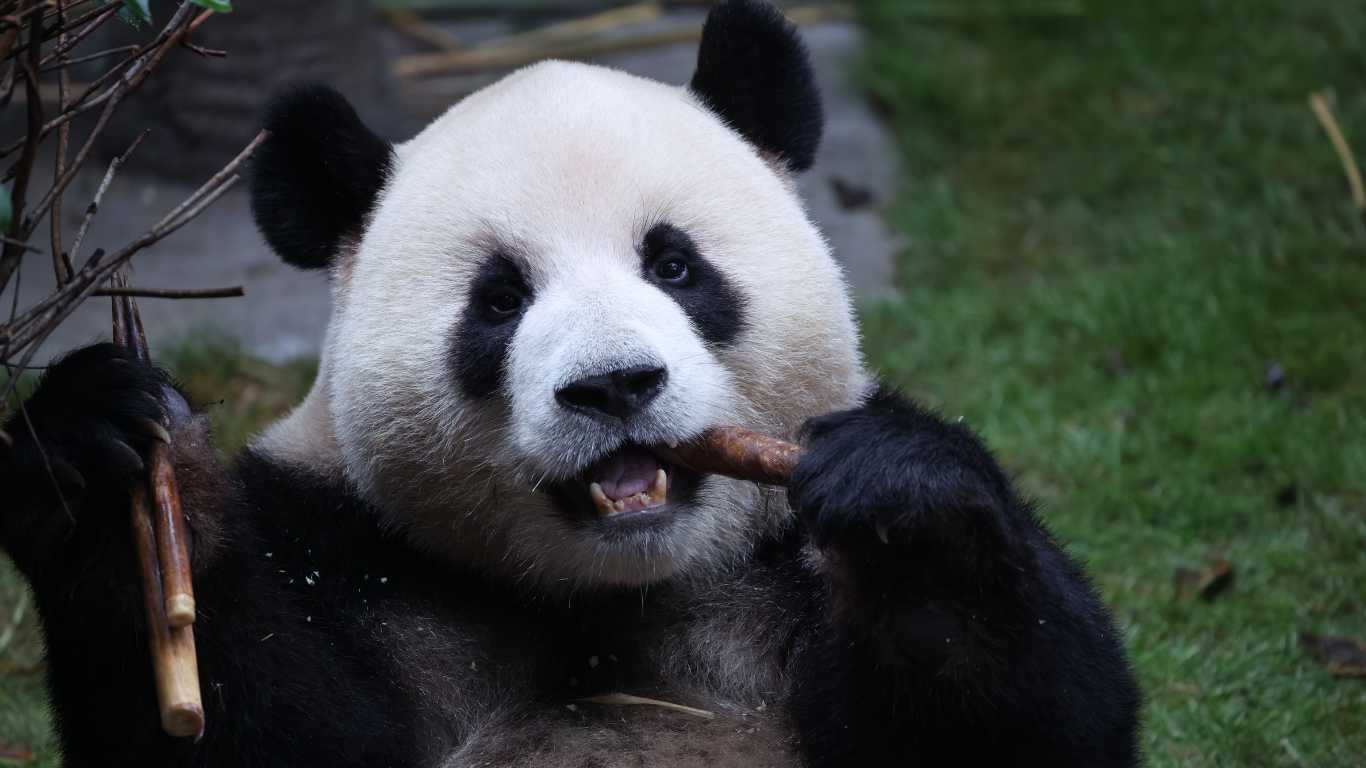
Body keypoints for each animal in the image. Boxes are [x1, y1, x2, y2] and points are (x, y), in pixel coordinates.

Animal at [0, 1, 1139, 765]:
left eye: (674, 265)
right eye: (500, 301)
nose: (615, 387)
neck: (613, 591)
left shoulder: (780, 564)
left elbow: (1035, 721)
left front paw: (902, 510)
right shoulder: (351, 551)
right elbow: (257, 729)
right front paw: (101, 458)